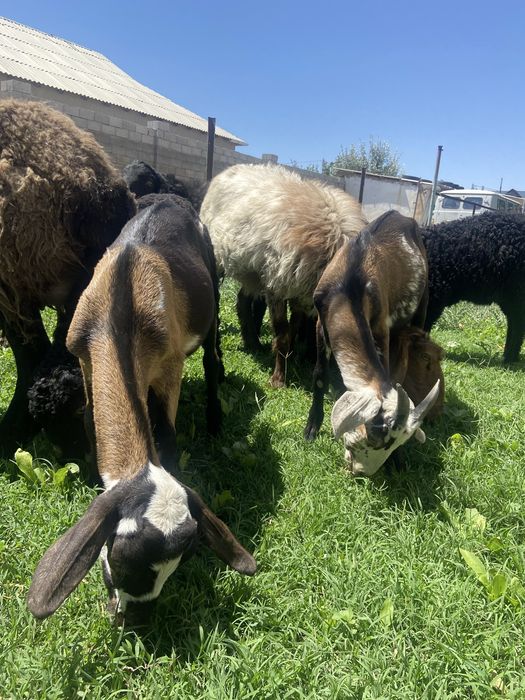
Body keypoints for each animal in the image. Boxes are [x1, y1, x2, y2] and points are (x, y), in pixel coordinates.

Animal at [27, 197, 256, 623]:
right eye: (119, 561)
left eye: (177, 565)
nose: (136, 618)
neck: (121, 309)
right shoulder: (84, 359)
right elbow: (90, 423)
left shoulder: (169, 365)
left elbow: (166, 433)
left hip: (212, 294)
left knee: (212, 358)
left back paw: (215, 420)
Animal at [200, 163, 367, 387]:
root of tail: (229, 170)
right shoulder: (277, 288)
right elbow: (282, 334)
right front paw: (278, 378)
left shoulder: (300, 294)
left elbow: (294, 327)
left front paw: (292, 357)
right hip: (220, 259)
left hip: (254, 273)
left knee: (243, 300)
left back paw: (252, 343)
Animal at [304, 210, 441, 476]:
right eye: (376, 436)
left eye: (395, 445)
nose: (361, 470)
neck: (349, 286)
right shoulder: (320, 323)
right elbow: (318, 375)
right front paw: (311, 427)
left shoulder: (380, 327)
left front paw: (398, 461)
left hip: (422, 300)